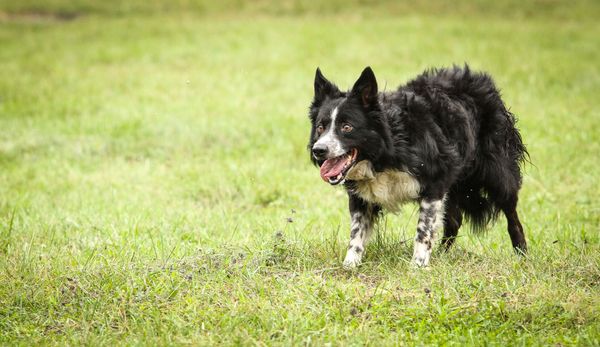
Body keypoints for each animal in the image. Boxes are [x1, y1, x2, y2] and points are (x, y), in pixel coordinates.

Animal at [308, 66, 528, 270]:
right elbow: (356, 232)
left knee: (512, 216)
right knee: (454, 220)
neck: (387, 151)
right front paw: (350, 264)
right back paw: (442, 255)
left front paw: (418, 265)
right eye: (320, 127)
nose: (318, 150)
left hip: (497, 172)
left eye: (347, 127)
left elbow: (424, 229)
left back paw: (523, 256)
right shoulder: (361, 195)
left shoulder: (436, 180)